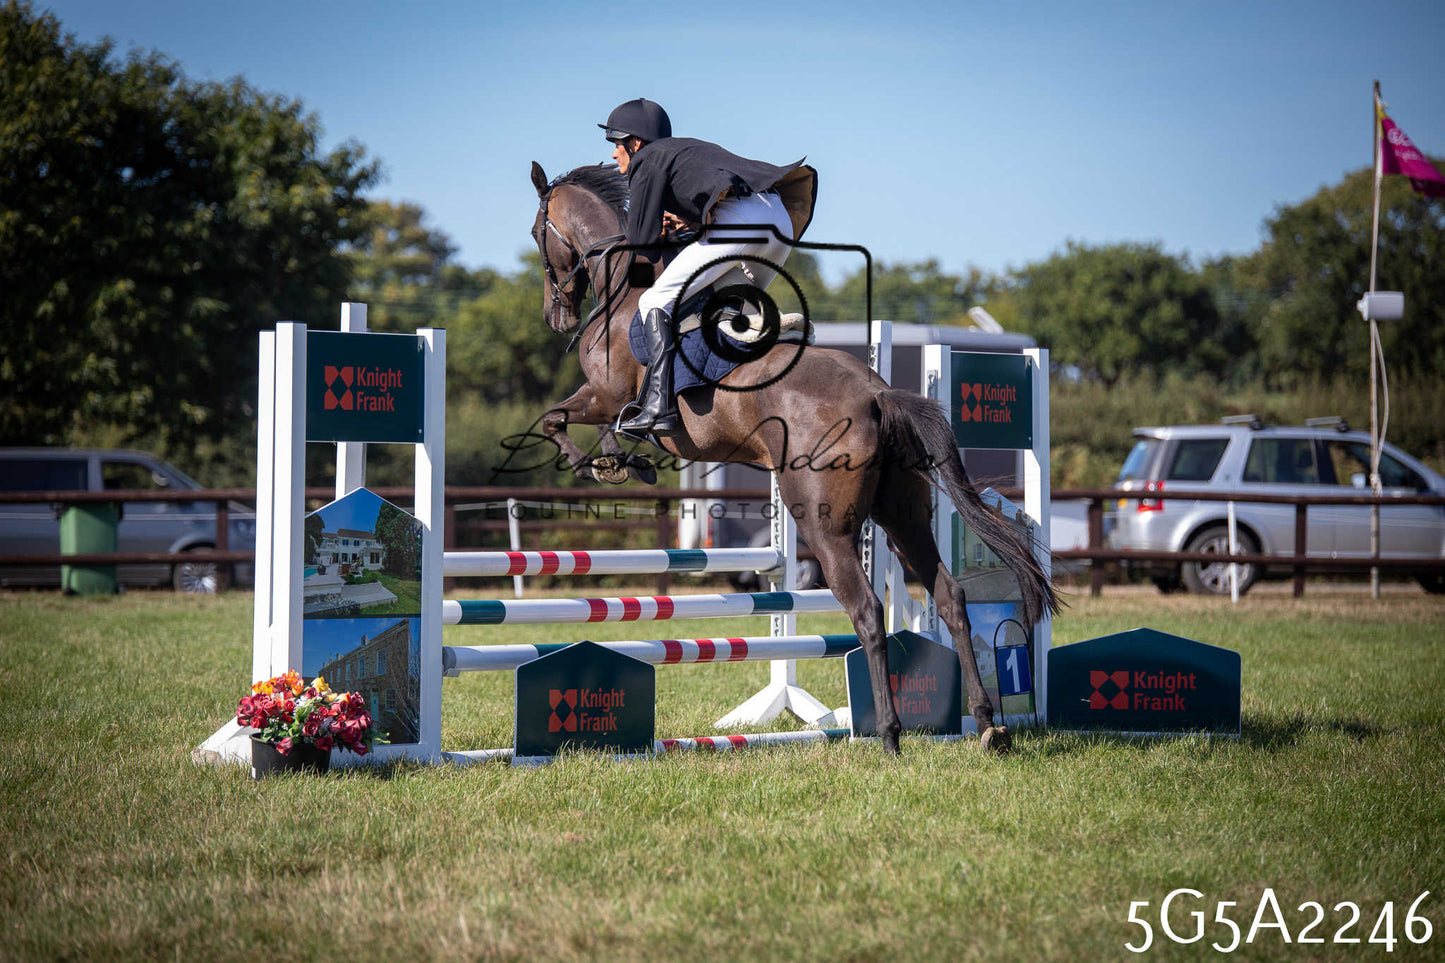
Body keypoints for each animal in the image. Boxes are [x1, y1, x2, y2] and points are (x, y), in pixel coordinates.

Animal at [528, 160, 1059, 755]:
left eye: (536, 234)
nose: (555, 317)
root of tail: (877, 393)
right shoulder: (610, 400)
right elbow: (588, 426)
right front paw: (622, 463)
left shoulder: (604, 393)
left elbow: (557, 419)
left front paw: (598, 463)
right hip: (902, 514)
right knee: (948, 598)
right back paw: (988, 725)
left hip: (825, 526)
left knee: (868, 611)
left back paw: (890, 735)